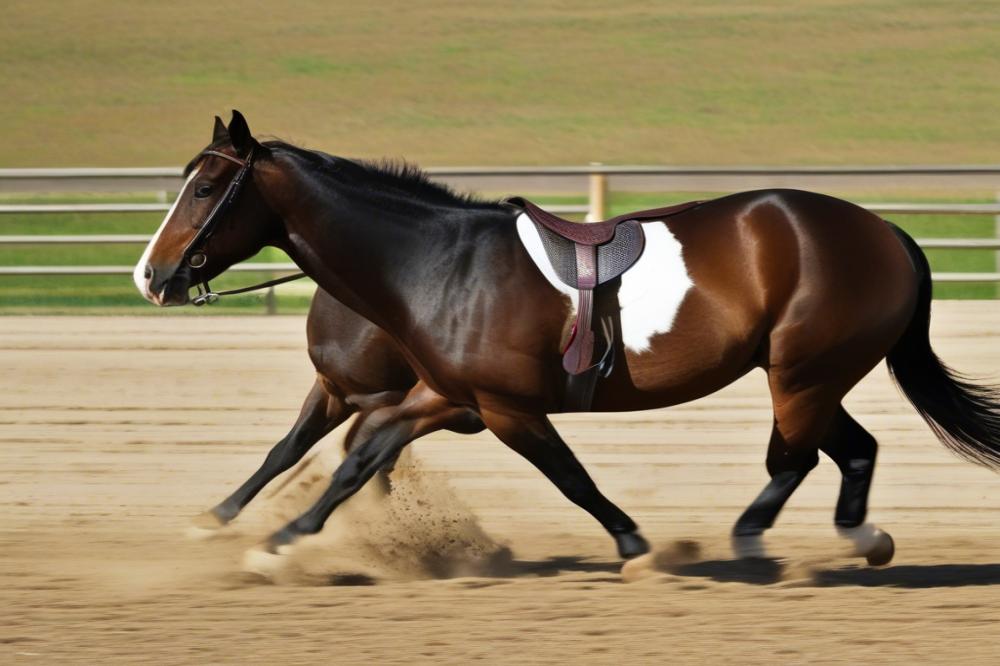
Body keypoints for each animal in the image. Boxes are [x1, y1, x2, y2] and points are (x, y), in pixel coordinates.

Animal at [137, 110, 1000, 564]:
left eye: (206, 187)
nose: (152, 274)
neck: (440, 265)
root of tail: (883, 232)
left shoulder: (502, 408)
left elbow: (572, 479)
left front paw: (636, 545)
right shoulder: (445, 398)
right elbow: (353, 460)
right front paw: (277, 535)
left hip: (803, 373)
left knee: (794, 457)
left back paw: (754, 540)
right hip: (810, 374)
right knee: (850, 450)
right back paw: (861, 536)